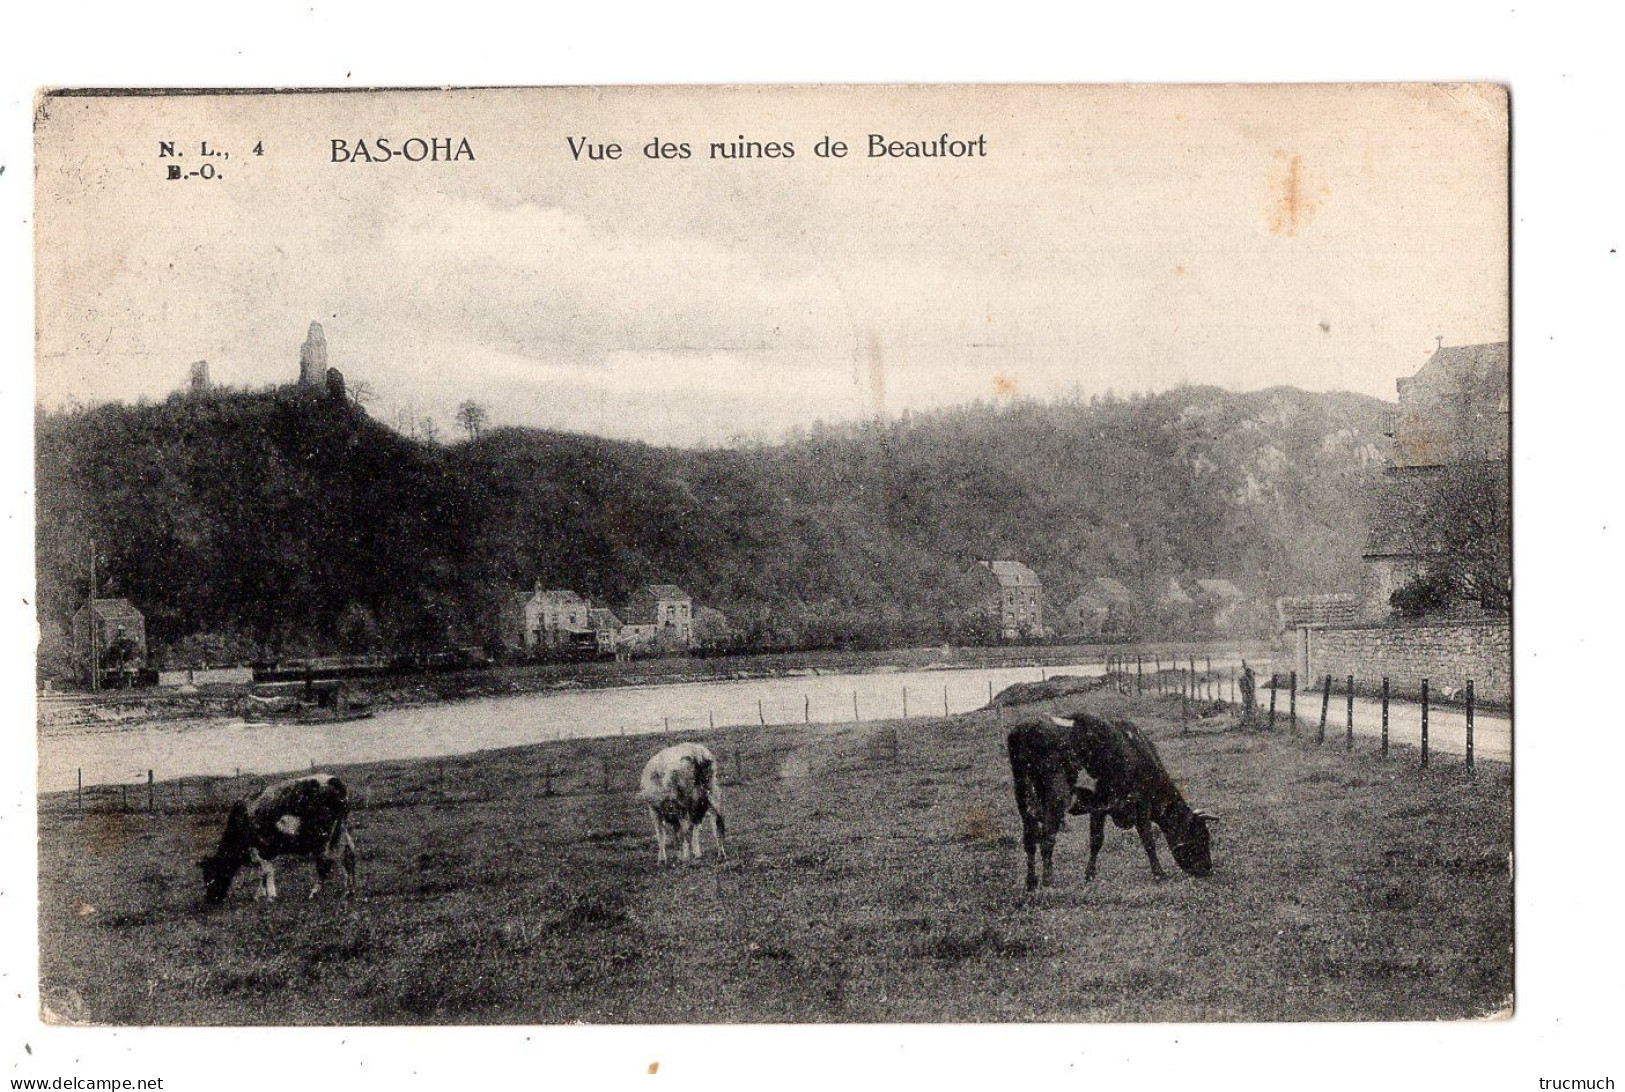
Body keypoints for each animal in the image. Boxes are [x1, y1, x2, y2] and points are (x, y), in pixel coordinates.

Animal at [199, 767, 359, 903]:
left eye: (210, 877)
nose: (210, 900)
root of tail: (333, 780)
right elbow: (263, 873)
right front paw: (260, 895)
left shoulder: (260, 847)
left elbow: (266, 871)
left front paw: (270, 896)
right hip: (341, 828)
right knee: (348, 854)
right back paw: (349, 891)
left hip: (323, 835)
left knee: (326, 862)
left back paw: (315, 893)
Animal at [1001, 715, 1222, 884]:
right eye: (1202, 835)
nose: (1207, 868)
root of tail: (1024, 727)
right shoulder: (1141, 804)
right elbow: (1148, 840)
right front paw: (1159, 874)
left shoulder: (1099, 806)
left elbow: (1096, 841)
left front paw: (1089, 875)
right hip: (1056, 796)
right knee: (1047, 834)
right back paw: (1048, 880)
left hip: (1022, 794)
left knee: (1030, 838)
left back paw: (1031, 882)